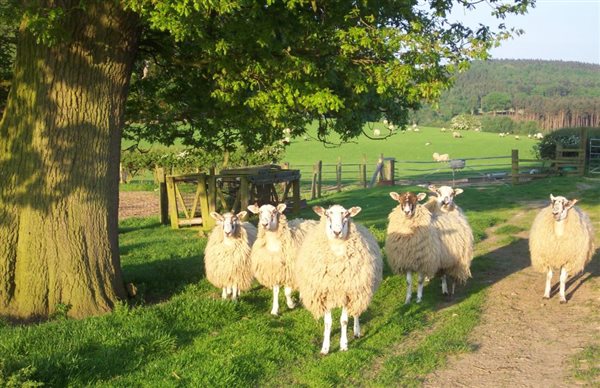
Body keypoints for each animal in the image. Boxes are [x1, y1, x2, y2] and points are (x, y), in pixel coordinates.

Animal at [296, 206, 384, 354]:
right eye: (327, 214)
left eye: (347, 215)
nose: (337, 232)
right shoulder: (325, 293)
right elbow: (328, 323)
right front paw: (325, 347)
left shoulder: (347, 293)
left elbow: (344, 321)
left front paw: (344, 345)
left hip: (358, 289)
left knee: (355, 312)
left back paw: (356, 331)